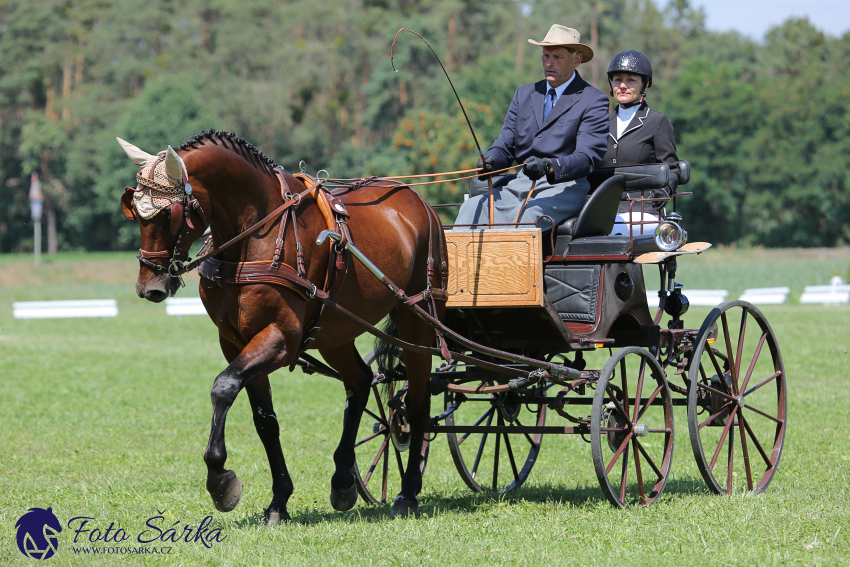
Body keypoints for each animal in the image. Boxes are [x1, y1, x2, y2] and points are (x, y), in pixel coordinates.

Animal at [117, 131, 448, 520]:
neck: (254, 234)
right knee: (360, 382)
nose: (148, 287)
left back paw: (408, 491)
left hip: (418, 319)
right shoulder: (235, 341)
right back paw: (343, 481)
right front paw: (279, 500)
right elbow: (265, 421)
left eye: (169, 214)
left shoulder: (281, 338)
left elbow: (223, 386)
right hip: (334, 331)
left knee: (418, 399)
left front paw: (220, 480)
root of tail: (416, 199)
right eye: (134, 211)